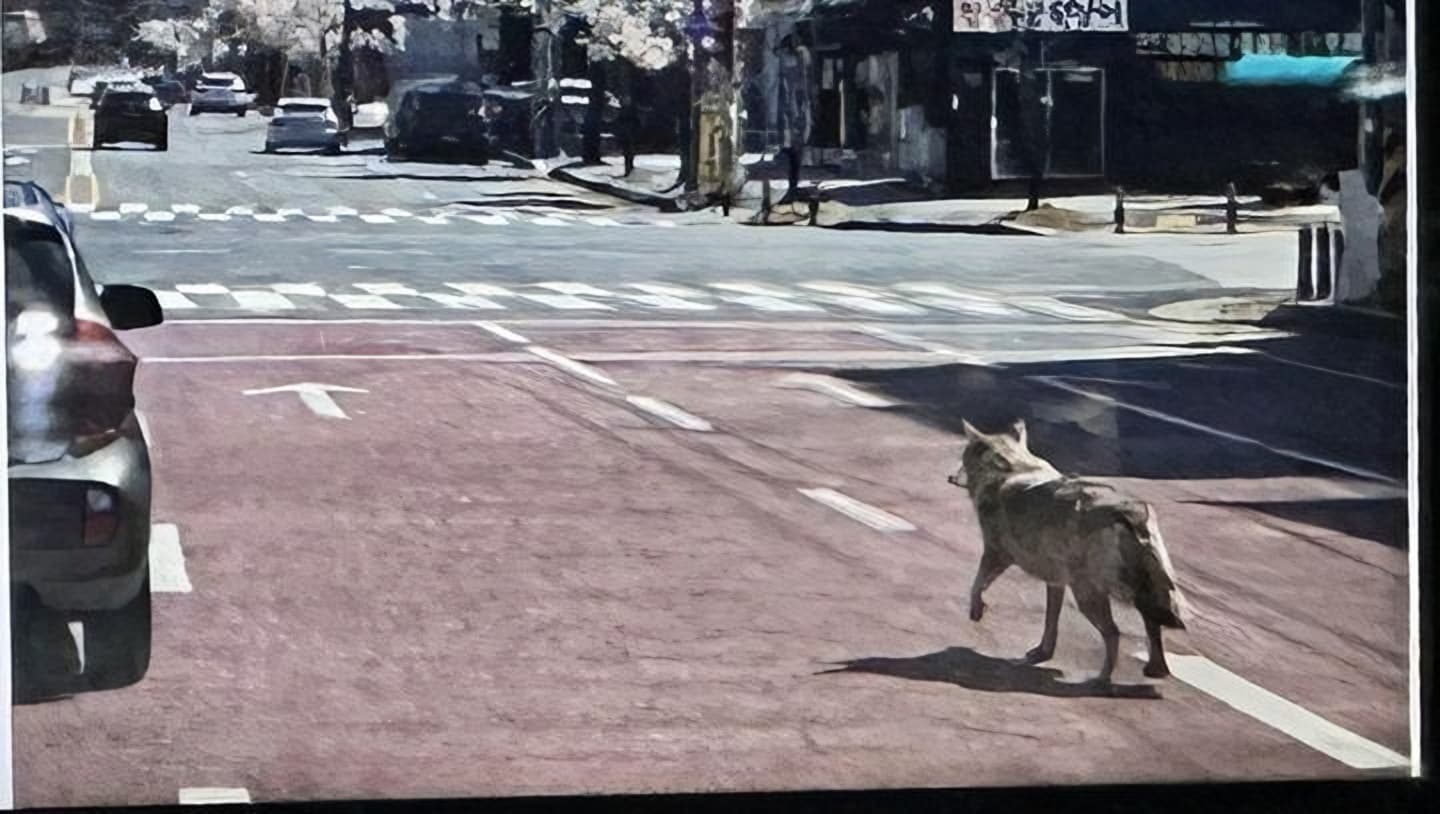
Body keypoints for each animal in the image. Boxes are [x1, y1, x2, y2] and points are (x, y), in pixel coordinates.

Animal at [947, 419, 1187, 683]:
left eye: (963, 457)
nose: (949, 477)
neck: (1011, 468)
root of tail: (1131, 512)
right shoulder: (1056, 581)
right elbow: (1051, 622)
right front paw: (1042, 652)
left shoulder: (995, 553)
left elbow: (977, 584)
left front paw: (976, 610)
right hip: (1134, 590)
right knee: (1151, 624)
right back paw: (1156, 670)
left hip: (1092, 594)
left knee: (1114, 632)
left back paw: (1102, 679)